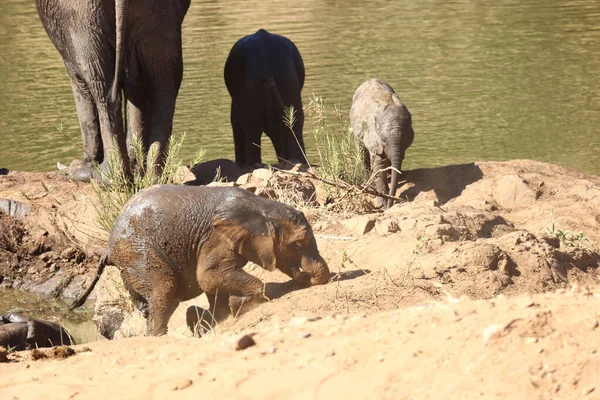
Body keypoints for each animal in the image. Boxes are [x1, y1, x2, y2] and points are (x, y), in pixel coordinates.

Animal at [35, 0, 190, 181]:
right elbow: (137, 87)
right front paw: (136, 167)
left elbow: (81, 84)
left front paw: (84, 170)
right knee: (165, 82)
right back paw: (153, 178)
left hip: (79, 15)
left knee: (100, 84)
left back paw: (105, 177)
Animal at [73, 186, 332, 336]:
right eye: (297, 244)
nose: (308, 277)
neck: (262, 206)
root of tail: (108, 248)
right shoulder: (216, 238)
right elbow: (208, 276)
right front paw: (246, 304)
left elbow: (214, 283)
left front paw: (223, 314)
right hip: (138, 252)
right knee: (164, 291)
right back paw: (161, 336)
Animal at [350, 77, 414, 209]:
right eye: (383, 139)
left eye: (405, 139)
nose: (391, 205)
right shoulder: (372, 135)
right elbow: (378, 165)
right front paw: (383, 205)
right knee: (362, 154)